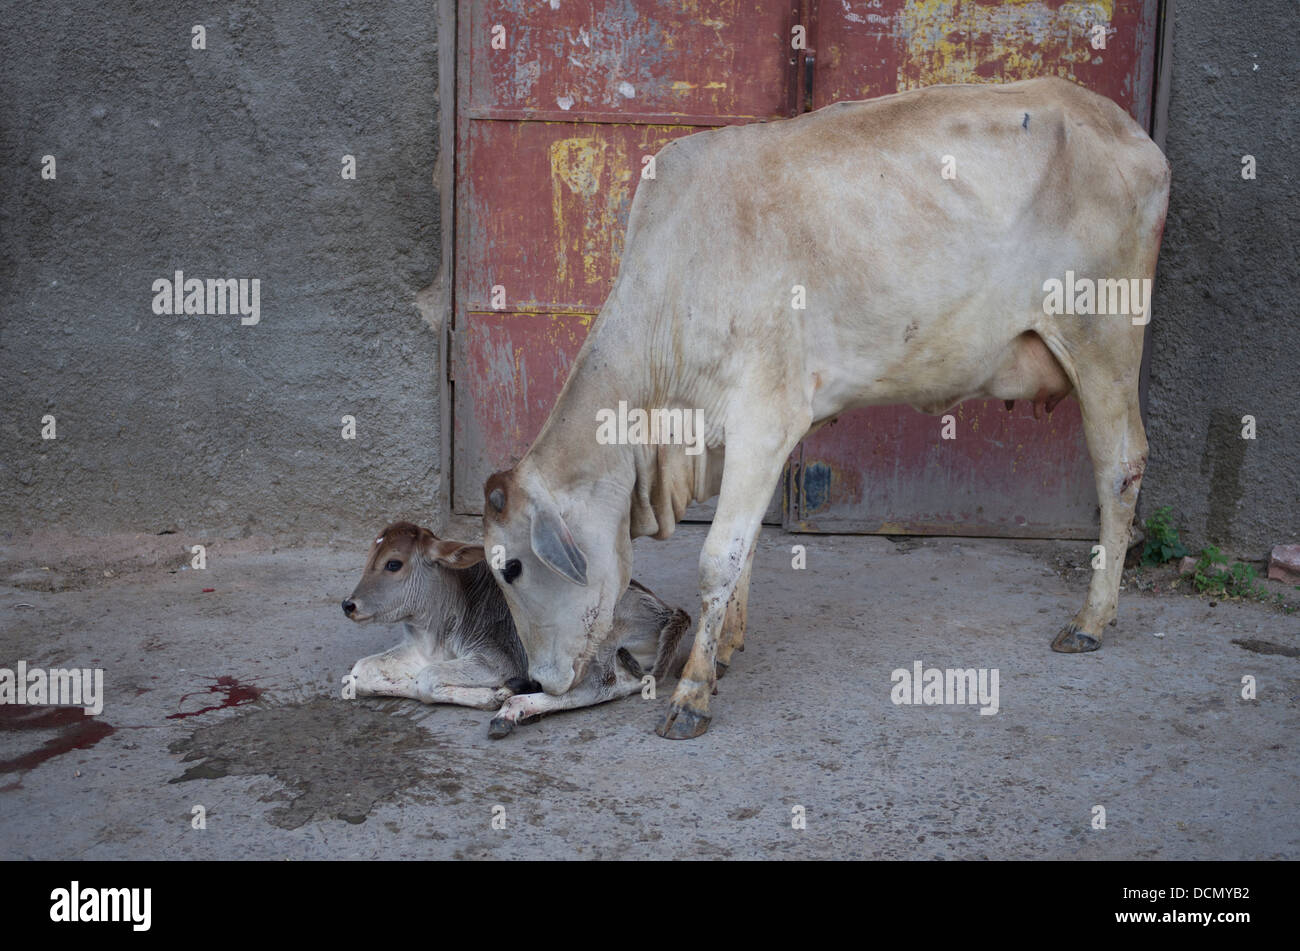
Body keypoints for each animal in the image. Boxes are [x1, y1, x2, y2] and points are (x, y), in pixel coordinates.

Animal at [343, 519, 691, 737]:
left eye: (393, 563)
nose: (348, 604)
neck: (435, 630)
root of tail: (667, 610)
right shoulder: (418, 651)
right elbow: (359, 672)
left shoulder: (498, 658)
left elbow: (425, 681)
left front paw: (490, 697)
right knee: (623, 684)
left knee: (598, 686)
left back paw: (511, 708)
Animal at [483, 77, 1175, 737]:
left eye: (512, 568)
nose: (537, 681)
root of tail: (1127, 130)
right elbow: (745, 549)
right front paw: (725, 649)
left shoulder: (765, 417)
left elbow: (718, 558)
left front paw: (693, 694)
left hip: (1104, 342)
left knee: (1120, 469)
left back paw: (1090, 620)